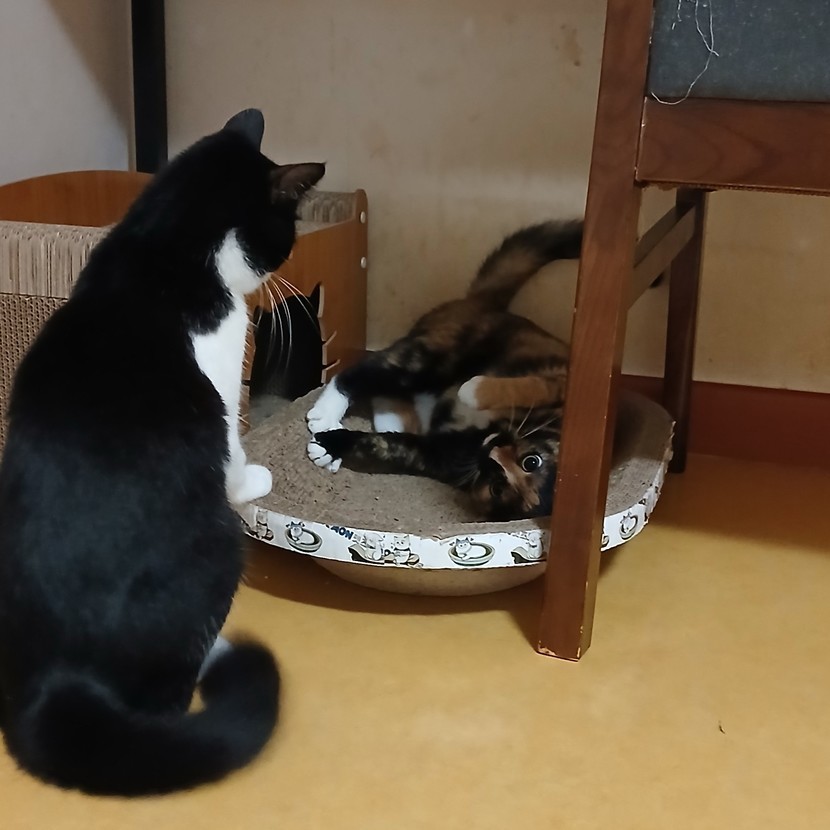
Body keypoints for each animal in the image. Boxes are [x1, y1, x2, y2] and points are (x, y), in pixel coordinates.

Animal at [0, 109, 325, 795]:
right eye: (285, 231)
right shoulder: (222, 380)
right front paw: (256, 478)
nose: (282, 269)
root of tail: (50, 687)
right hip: (220, 551)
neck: (163, 245)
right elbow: (233, 452)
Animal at [306, 220, 582, 521]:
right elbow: (524, 387)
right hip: (432, 357)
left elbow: (388, 446)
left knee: (389, 396)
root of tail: (483, 302)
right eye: (531, 461)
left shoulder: (442, 454)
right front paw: (473, 390)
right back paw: (326, 413)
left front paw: (332, 446)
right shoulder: (562, 383)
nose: (491, 454)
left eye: (497, 488)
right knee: (362, 373)